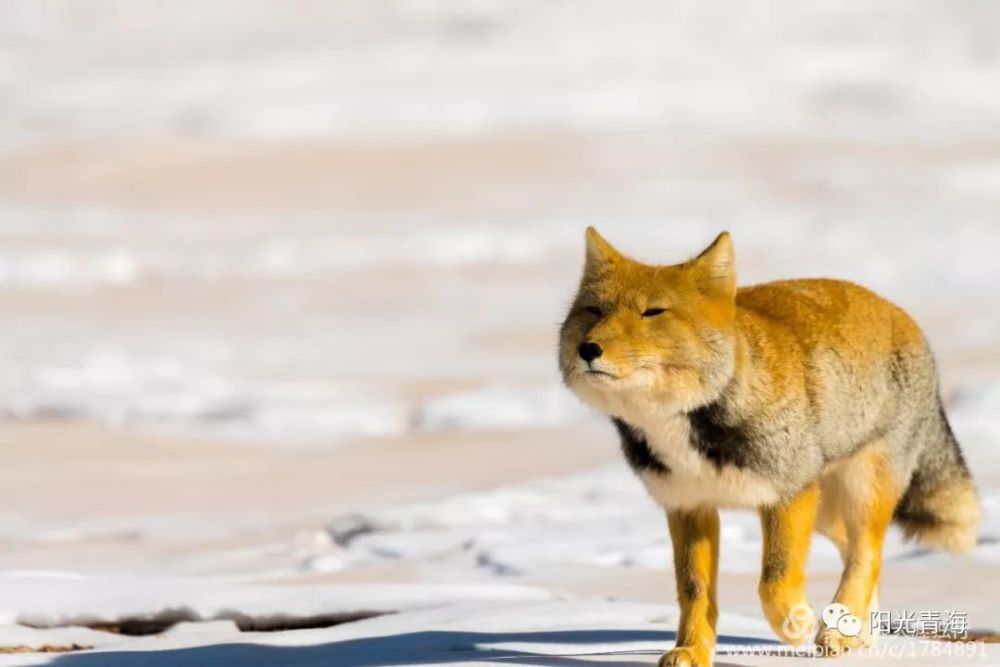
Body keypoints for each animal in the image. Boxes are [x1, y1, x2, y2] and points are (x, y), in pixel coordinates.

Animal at [560, 230, 980, 667]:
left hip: (856, 493)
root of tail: (899, 313)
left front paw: (795, 623)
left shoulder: (787, 494)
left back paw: (836, 631)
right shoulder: (688, 506)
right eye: (593, 310)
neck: (683, 425)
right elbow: (694, 592)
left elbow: (774, 580)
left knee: (866, 556)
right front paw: (691, 650)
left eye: (652, 312)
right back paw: (856, 633)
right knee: (859, 555)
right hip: (825, 509)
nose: (588, 349)